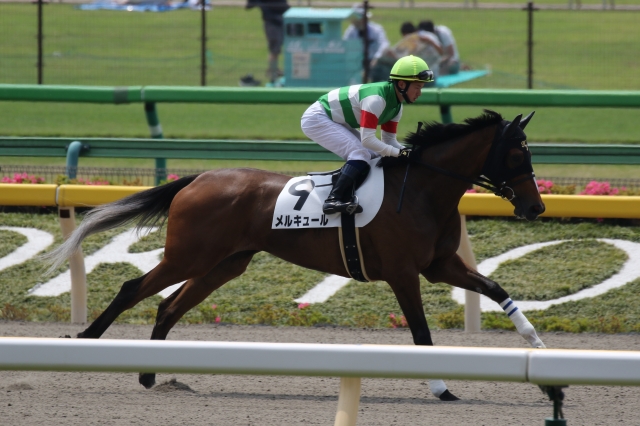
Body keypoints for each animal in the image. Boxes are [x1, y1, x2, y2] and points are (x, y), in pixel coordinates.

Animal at [44, 109, 547, 401]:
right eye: (517, 154)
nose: (535, 208)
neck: (423, 189)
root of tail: (197, 178)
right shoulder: (403, 273)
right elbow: (422, 333)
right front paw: (442, 387)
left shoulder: (440, 266)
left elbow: (495, 288)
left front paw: (537, 344)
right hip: (189, 256)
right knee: (133, 289)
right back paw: (86, 343)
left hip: (223, 264)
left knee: (168, 306)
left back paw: (151, 375)